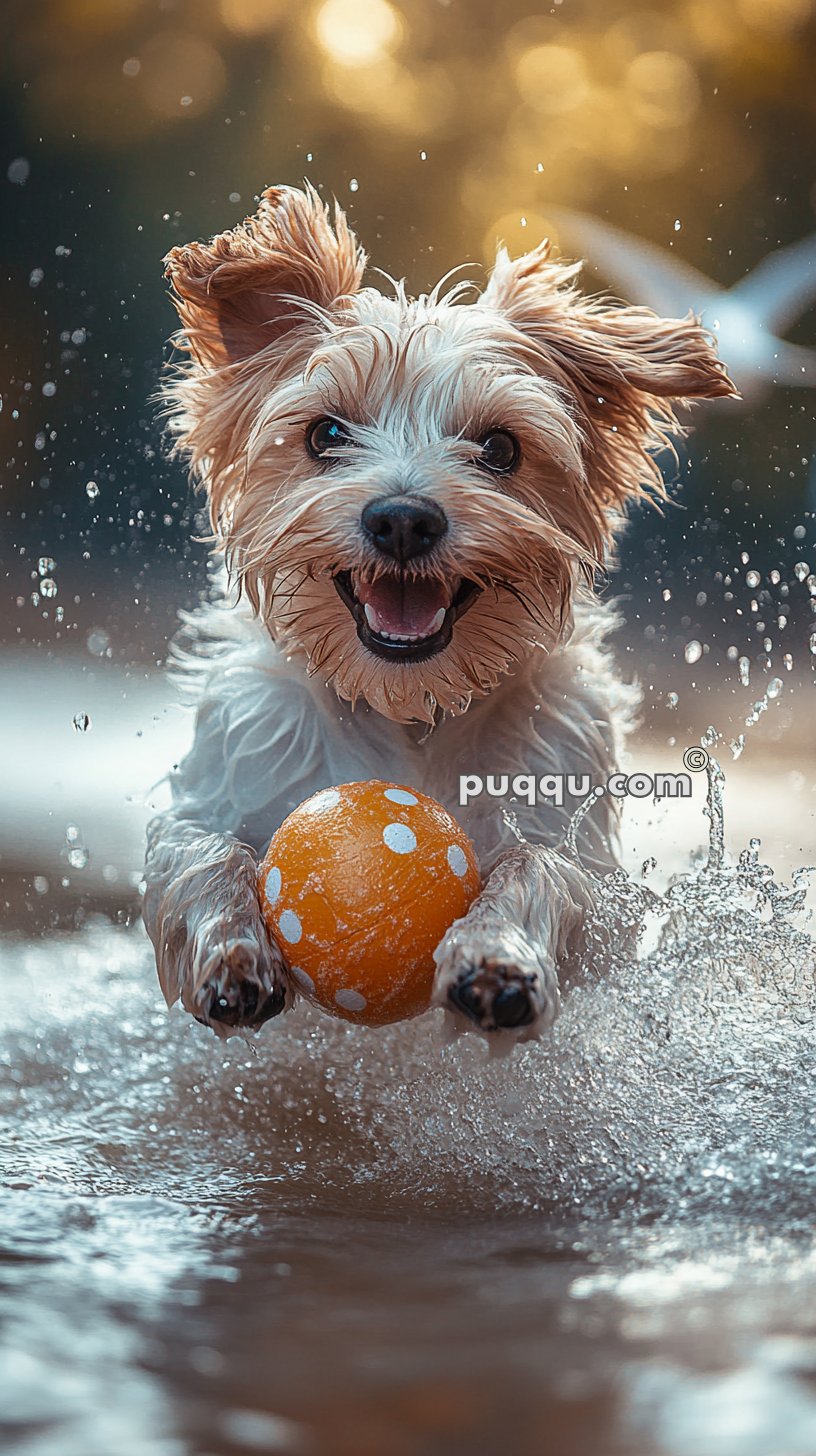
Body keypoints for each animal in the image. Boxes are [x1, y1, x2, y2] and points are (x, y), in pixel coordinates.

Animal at [139, 184, 734, 1048]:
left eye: (500, 447)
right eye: (325, 432)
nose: (402, 519)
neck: (410, 710)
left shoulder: (576, 841)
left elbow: (538, 869)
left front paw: (497, 958)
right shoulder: (228, 781)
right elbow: (202, 853)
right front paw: (233, 953)